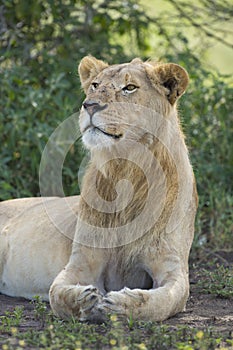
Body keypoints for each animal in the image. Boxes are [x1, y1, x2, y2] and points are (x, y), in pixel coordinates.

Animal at [0, 56, 198, 322]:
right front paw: (85, 301)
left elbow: (164, 302)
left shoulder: (172, 266)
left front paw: (124, 304)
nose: (89, 105)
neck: (126, 171)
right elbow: (56, 294)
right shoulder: (83, 261)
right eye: (95, 85)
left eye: (129, 88)